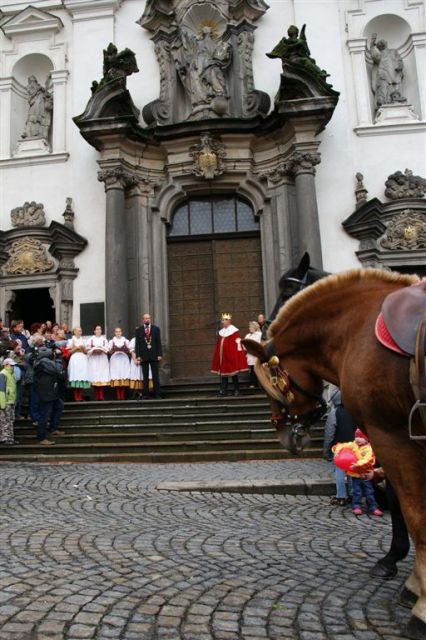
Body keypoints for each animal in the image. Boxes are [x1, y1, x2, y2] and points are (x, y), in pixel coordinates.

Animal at [243, 268, 426, 636]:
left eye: (287, 290)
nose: (283, 433)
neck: (358, 323)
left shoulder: (392, 436)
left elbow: (413, 512)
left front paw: (418, 601)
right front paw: (409, 578)